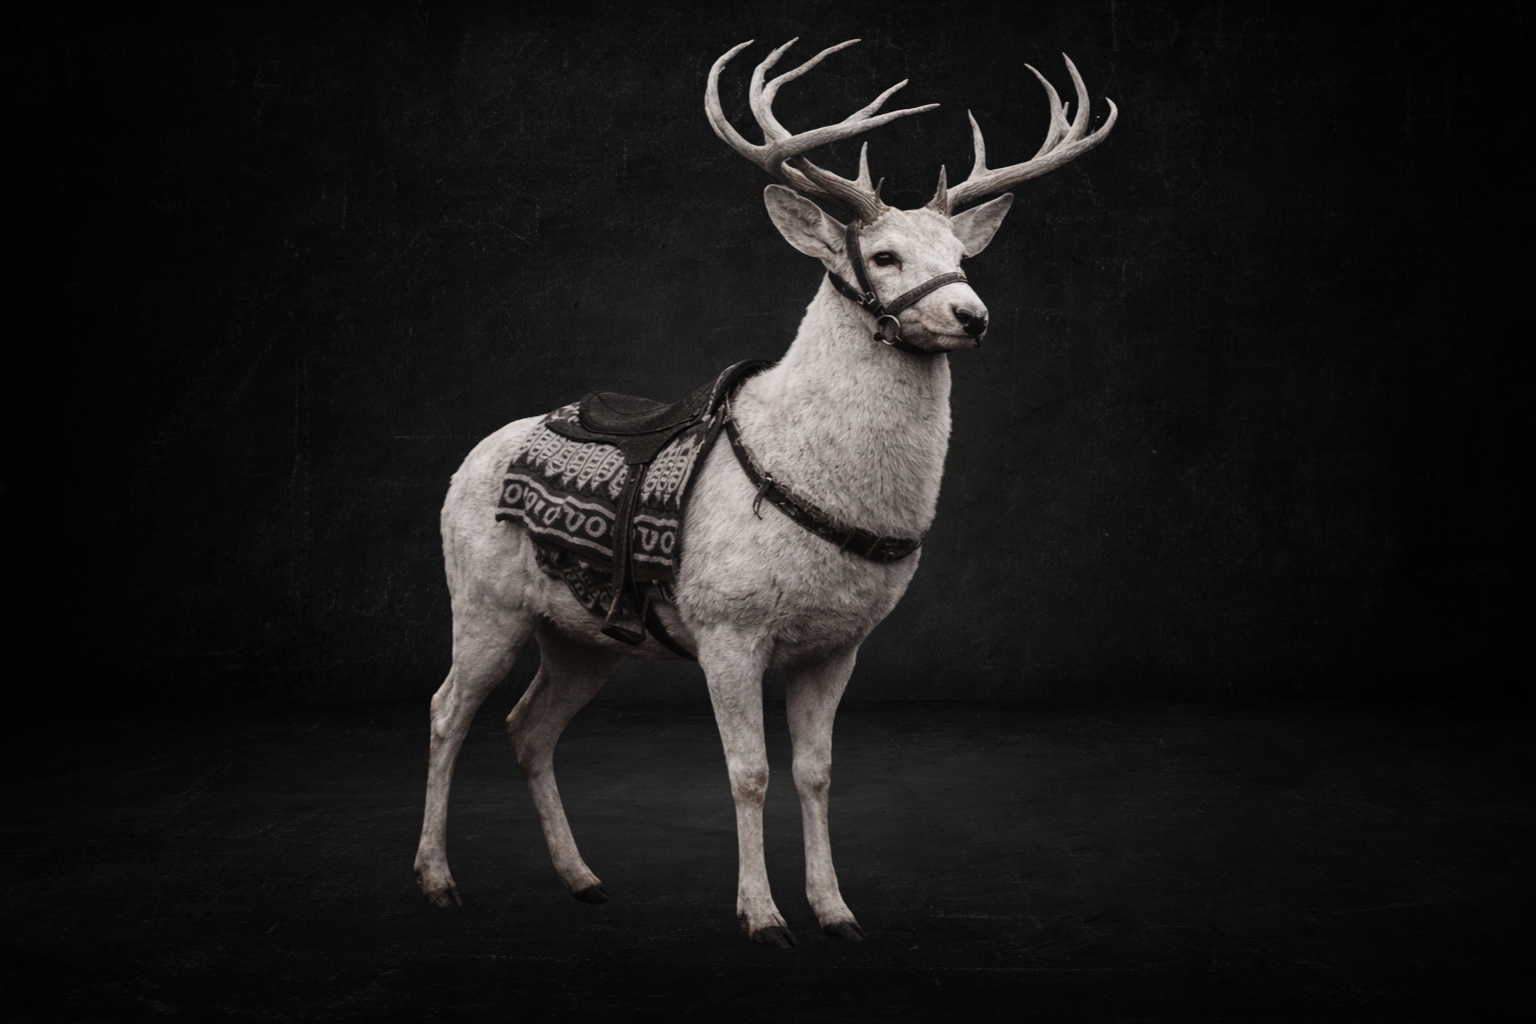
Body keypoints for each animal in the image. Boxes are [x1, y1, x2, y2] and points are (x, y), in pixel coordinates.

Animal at [413, 38, 1116, 947]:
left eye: (962, 258)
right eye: (884, 256)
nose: (973, 315)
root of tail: (466, 461)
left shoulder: (838, 644)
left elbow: (816, 772)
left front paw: (836, 910)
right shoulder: (727, 624)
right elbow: (748, 771)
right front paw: (761, 915)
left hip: (585, 635)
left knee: (527, 726)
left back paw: (582, 878)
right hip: (483, 598)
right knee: (447, 711)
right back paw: (437, 879)